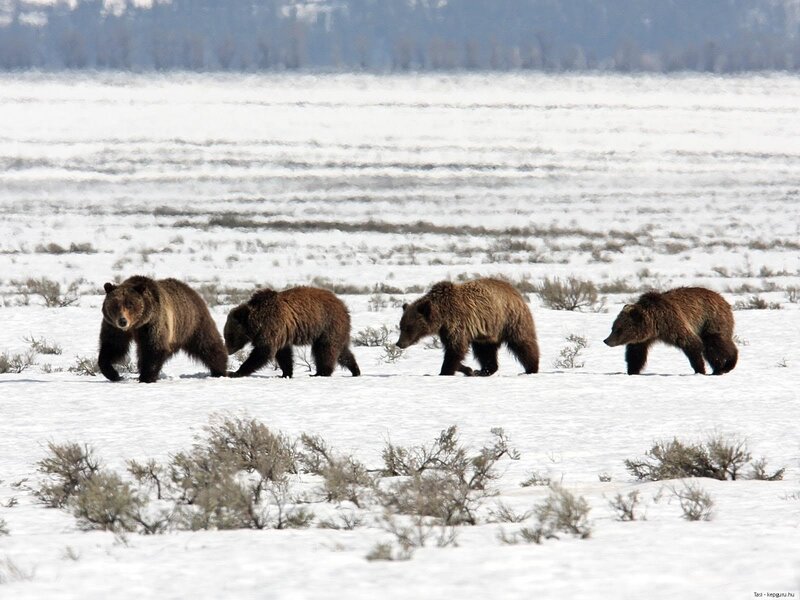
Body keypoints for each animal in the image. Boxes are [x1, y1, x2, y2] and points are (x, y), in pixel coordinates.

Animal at [98, 276, 228, 383]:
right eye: (115, 305)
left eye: (130, 305)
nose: (123, 321)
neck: (136, 325)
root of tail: (191, 291)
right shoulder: (114, 327)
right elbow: (112, 347)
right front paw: (114, 374)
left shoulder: (153, 323)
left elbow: (154, 347)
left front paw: (146, 377)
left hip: (193, 323)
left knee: (208, 344)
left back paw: (220, 370)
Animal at [224, 286, 360, 378]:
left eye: (229, 336)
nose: (228, 350)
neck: (257, 321)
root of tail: (343, 306)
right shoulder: (281, 333)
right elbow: (283, 354)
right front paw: (285, 373)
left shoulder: (271, 326)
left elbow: (263, 351)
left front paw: (235, 372)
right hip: (334, 329)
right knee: (342, 352)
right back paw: (355, 370)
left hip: (327, 324)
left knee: (325, 350)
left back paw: (321, 373)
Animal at [395, 278, 539, 376]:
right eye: (401, 326)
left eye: (408, 327)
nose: (399, 343)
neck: (442, 316)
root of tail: (514, 290)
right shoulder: (446, 330)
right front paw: (467, 369)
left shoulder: (457, 323)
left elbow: (455, 349)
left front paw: (445, 371)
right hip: (487, 332)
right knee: (485, 351)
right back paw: (484, 370)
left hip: (510, 320)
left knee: (523, 343)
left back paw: (531, 368)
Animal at [603, 287, 738, 375]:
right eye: (613, 327)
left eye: (618, 329)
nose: (606, 340)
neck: (655, 325)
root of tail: (723, 299)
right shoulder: (644, 338)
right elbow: (636, 353)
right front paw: (632, 370)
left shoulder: (674, 323)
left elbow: (691, 344)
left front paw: (699, 370)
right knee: (710, 349)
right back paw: (717, 369)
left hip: (711, 320)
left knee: (716, 342)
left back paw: (728, 364)